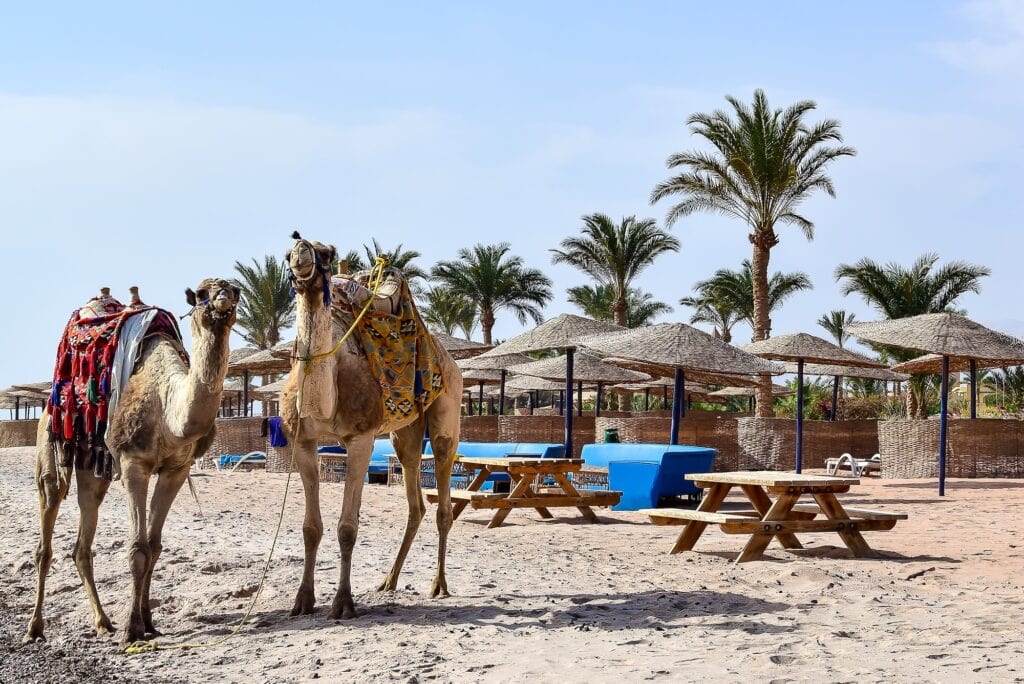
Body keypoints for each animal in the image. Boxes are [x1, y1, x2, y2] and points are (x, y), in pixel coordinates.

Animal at [23, 278, 240, 645]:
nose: (223, 295)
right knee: (47, 525)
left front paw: (148, 622)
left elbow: (154, 546)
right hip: (52, 446)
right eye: (201, 294)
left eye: (236, 290)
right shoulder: (132, 464)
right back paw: (35, 628)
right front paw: (133, 628)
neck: (168, 407)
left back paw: (102, 622)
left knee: (83, 543)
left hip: (93, 468)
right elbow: (138, 548)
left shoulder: (176, 470)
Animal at [280, 234, 461, 620]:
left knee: (443, 501)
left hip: (447, 411)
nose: (302, 251)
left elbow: (347, 527)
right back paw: (388, 581)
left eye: (327, 253)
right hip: (404, 433)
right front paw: (303, 600)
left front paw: (343, 603)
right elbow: (310, 528)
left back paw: (439, 585)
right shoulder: (302, 443)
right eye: (287, 254)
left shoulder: (360, 438)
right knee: (415, 500)